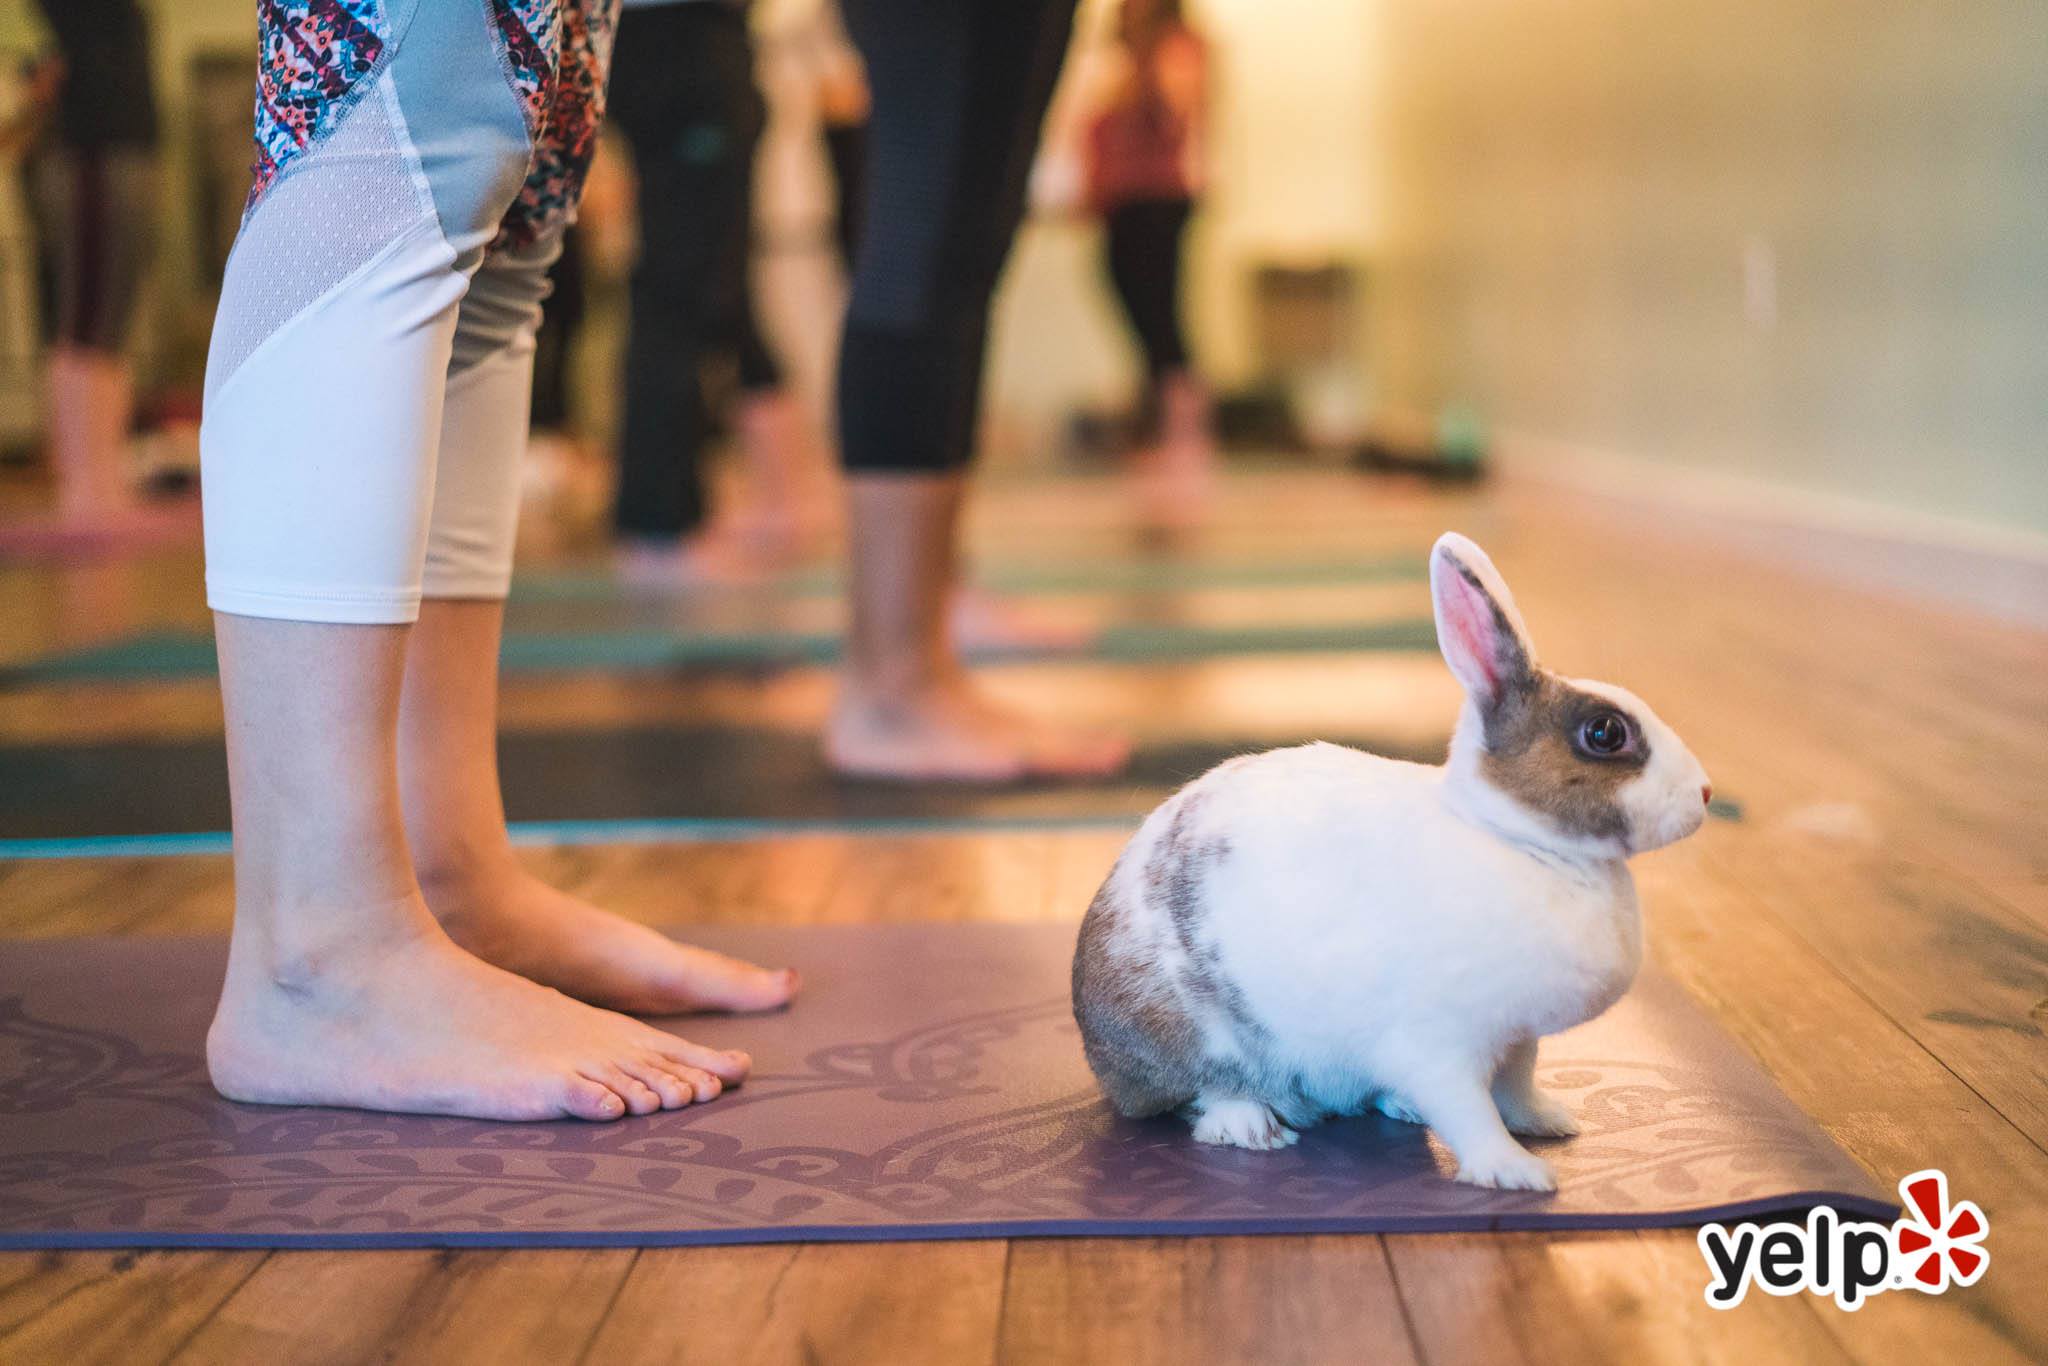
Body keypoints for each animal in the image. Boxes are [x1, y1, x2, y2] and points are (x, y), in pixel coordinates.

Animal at [1071, 532, 1712, 1190]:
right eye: (1605, 733)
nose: (1705, 794)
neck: (1518, 838)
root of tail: (1096, 1045)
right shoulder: (1438, 1044)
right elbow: (1469, 1111)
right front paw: (1515, 1173)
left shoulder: (1517, 1039)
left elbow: (1515, 1089)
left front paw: (1550, 1122)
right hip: (1192, 1041)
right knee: (1201, 1096)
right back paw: (1253, 1128)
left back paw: (1399, 1107)